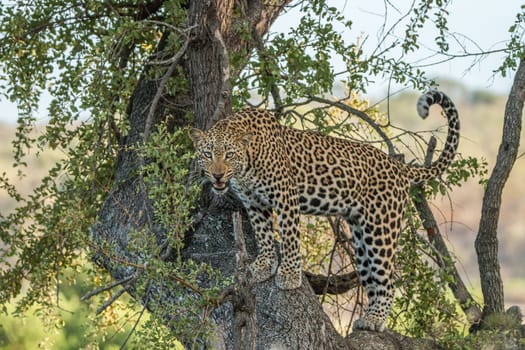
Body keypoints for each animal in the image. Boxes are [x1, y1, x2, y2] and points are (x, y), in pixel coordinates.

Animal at [188, 89, 458, 330]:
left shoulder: (286, 197)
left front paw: (289, 275)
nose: (217, 175)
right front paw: (263, 267)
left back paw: (375, 320)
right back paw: (367, 317)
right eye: (207, 154)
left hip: (381, 229)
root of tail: (398, 166)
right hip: (361, 236)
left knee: (388, 280)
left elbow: (289, 238)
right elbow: (263, 235)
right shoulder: (254, 203)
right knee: (371, 278)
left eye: (229, 154)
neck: (247, 164)